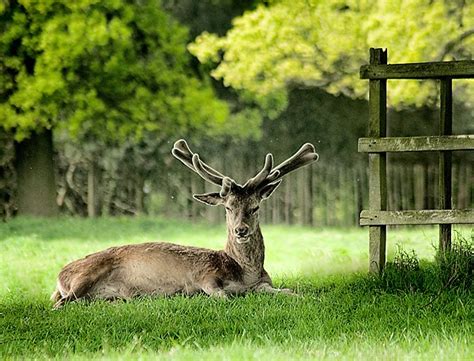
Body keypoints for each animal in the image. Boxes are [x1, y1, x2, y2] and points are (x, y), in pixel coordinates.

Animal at [51, 139, 318, 308]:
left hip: (100, 295)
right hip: (84, 275)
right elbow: (222, 296)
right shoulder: (205, 275)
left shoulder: (263, 284)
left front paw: (304, 297)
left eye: (255, 207)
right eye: (228, 207)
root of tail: (60, 275)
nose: (240, 230)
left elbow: (286, 291)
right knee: (61, 303)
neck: (245, 273)